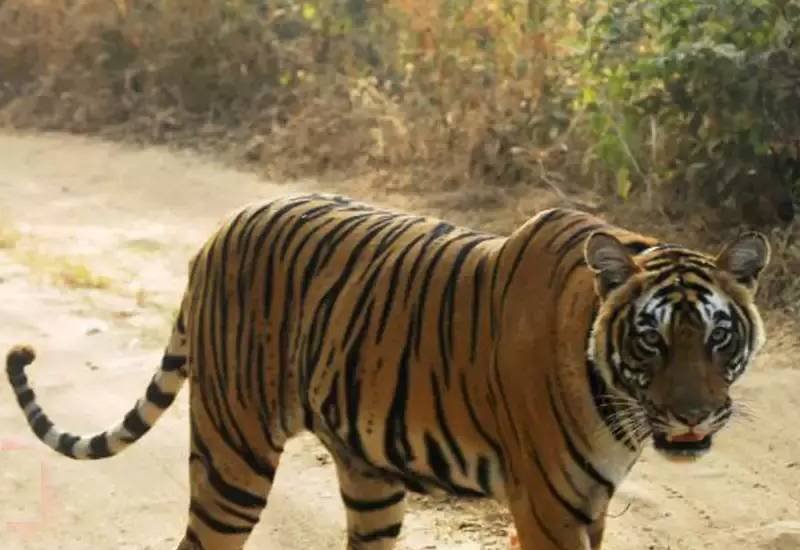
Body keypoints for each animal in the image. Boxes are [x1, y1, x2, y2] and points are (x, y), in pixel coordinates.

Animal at [6, 193, 770, 550]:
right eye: (651, 341)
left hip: (369, 476)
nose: (694, 416)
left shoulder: (593, 507)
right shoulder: (551, 508)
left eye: (716, 336)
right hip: (233, 454)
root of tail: (216, 232)